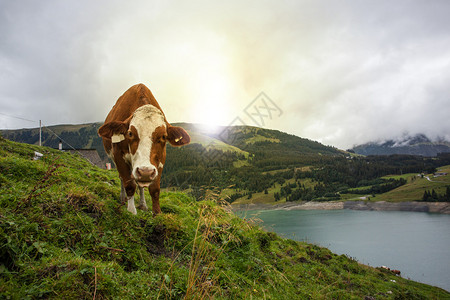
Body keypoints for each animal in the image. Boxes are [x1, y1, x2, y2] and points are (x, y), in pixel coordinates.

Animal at [98, 84, 190, 214]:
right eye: (130, 133)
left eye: (164, 136)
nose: (145, 171)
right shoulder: (118, 155)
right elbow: (129, 185)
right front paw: (131, 211)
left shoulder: (160, 159)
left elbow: (154, 189)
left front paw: (157, 213)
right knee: (122, 179)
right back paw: (123, 199)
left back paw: (142, 204)